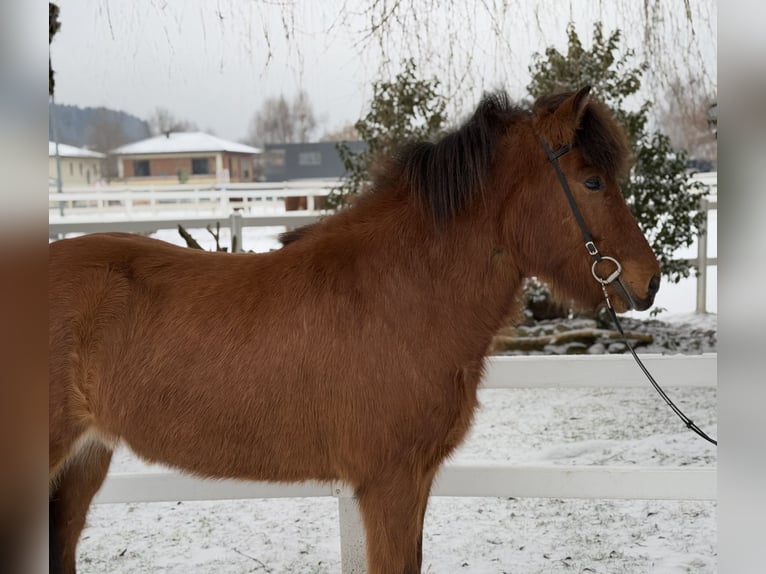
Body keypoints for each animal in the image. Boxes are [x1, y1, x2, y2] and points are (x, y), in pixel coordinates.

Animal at [48, 86, 660, 574]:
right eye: (592, 181)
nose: (649, 281)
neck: (399, 293)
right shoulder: (387, 484)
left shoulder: (416, 480)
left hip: (83, 462)